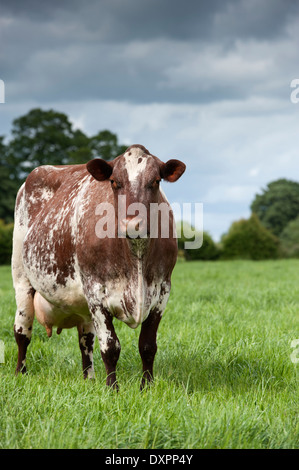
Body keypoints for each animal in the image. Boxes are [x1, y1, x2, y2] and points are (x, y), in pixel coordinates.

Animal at [12, 144, 186, 390]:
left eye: (156, 181)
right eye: (114, 181)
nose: (132, 224)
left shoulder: (162, 291)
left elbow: (147, 346)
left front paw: (146, 387)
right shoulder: (95, 291)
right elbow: (110, 347)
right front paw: (113, 388)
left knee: (86, 340)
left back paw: (89, 378)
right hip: (21, 278)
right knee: (22, 331)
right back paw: (21, 373)